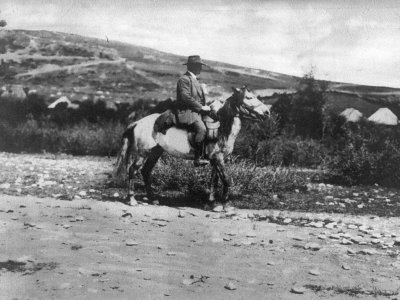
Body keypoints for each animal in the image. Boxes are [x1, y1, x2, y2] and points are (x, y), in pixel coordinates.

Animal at [112, 85, 270, 210]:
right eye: (249, 97)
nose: (267, 113)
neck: (221, 128)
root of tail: (138, 122)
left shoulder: (216, 160)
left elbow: (214, 181)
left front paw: (211, 203)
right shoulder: (217, 158)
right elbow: (226, 179)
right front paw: (225, 204)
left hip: (155, 153)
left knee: (145, 171)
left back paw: (153, 198)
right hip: (142, 153)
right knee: (132, 170)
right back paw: (132, 199)